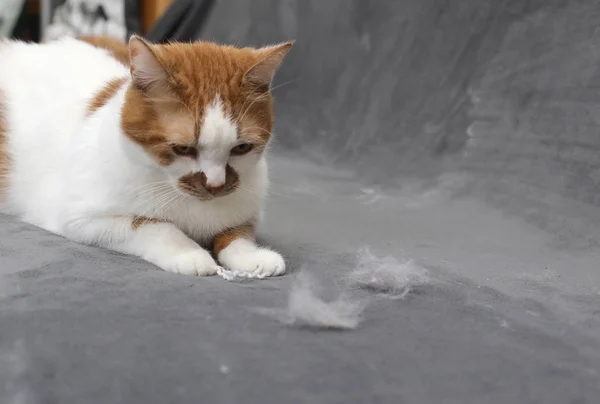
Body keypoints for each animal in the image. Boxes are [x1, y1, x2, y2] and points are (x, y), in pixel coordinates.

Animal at [0, 36, 292, 278]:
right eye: (183, 149)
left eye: (241, 148)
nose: (216, 185)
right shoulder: (82, 218)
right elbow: (155, 225)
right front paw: (188, 252)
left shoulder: (245, 213)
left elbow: (237, 234)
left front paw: (250, 255)